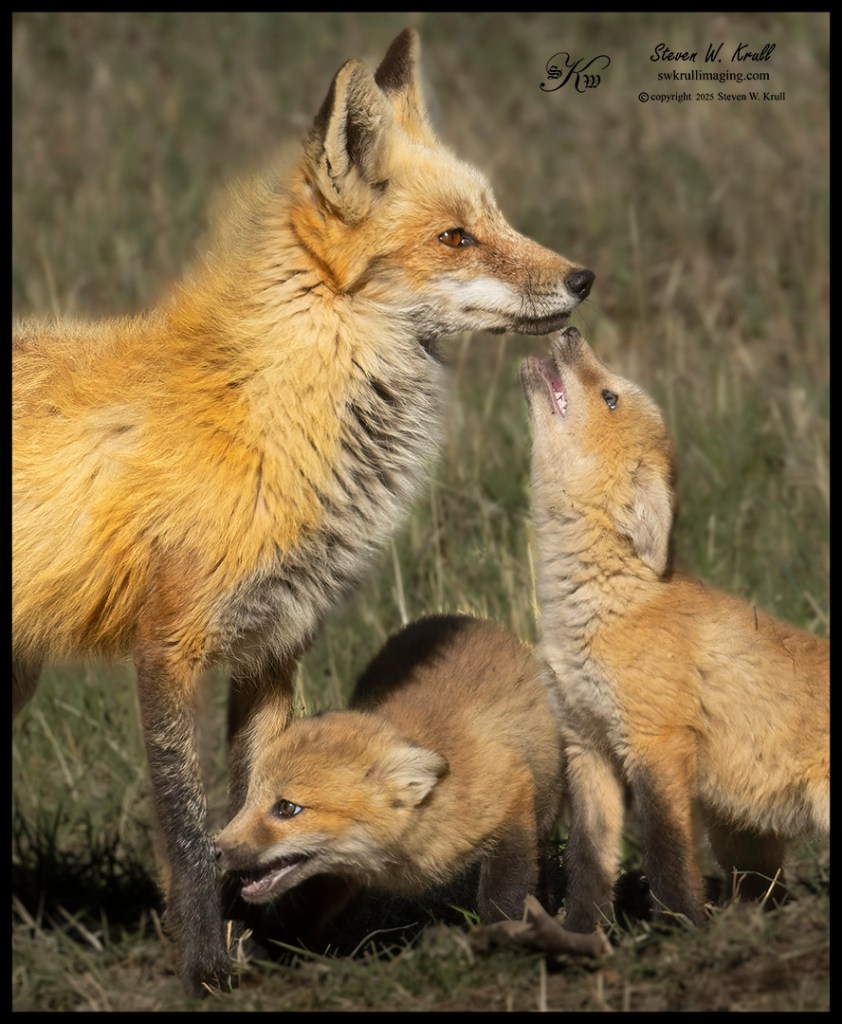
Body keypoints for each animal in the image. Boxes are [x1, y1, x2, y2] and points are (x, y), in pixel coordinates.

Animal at [215, 614, 565, 933]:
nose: (217, 849)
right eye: (249, 799)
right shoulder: (342, 874)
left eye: (287, 808)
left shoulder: (512, 799)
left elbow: (504, 894)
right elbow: (309, 914)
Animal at [520, 326, 829, 934]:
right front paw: (581, 933)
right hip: (743, 839)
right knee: (765, 891)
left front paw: (680, 930)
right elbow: (590, 860)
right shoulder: (588, 746)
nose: (569, 330)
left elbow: (667, 854)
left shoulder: (655, 745)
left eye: (610, 396)